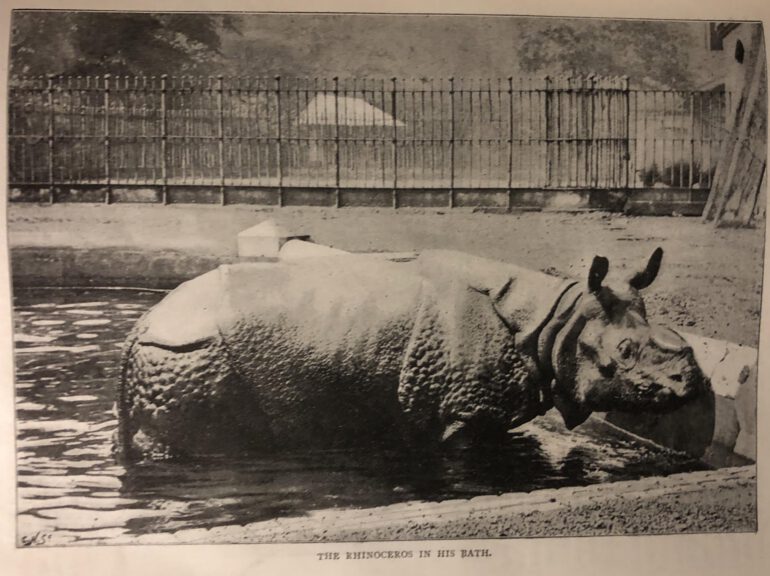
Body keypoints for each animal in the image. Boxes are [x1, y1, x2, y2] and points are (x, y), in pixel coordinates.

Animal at [117, 248, 706, 459]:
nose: (693, 382)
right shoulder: (465, 414)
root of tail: (141, 325)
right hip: (190, 355)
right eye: (624, 352)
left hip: (175, 352)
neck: (556, 323)